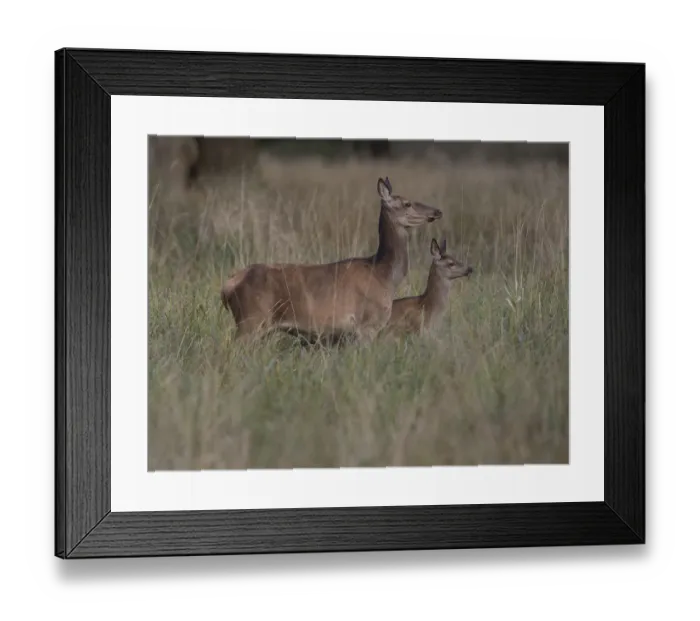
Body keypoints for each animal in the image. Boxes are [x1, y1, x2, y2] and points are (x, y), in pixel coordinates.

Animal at [220, 177, 443, 344]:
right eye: (407, 203)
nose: (437, 211)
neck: (384, 274)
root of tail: (228, 285)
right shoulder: (367, 325)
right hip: (251, 320)